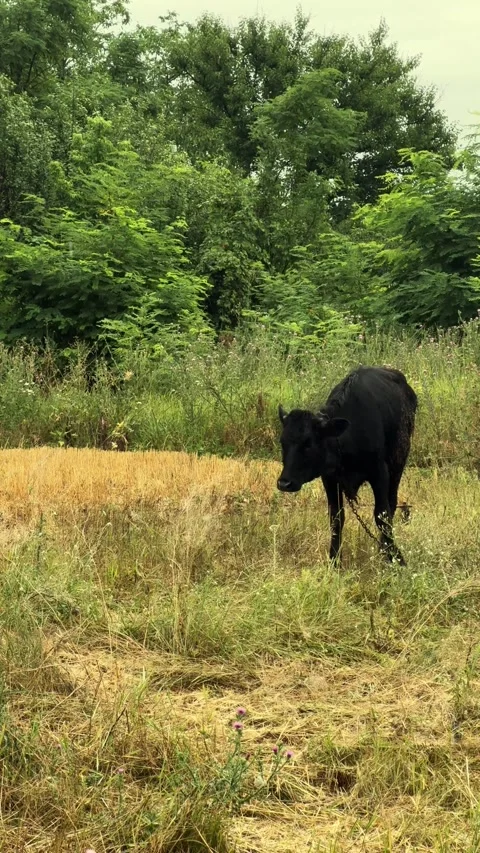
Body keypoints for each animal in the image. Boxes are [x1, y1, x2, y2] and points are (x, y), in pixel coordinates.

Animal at [277, 366, 417, 564]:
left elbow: (382, 515)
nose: (284, 483)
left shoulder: (379, 473)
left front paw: (395, 558)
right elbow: (336, 518)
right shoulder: (329, 478)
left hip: (398, 463)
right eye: (283, 442)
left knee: (391, 504)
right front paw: (334, 561)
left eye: (308, 443)